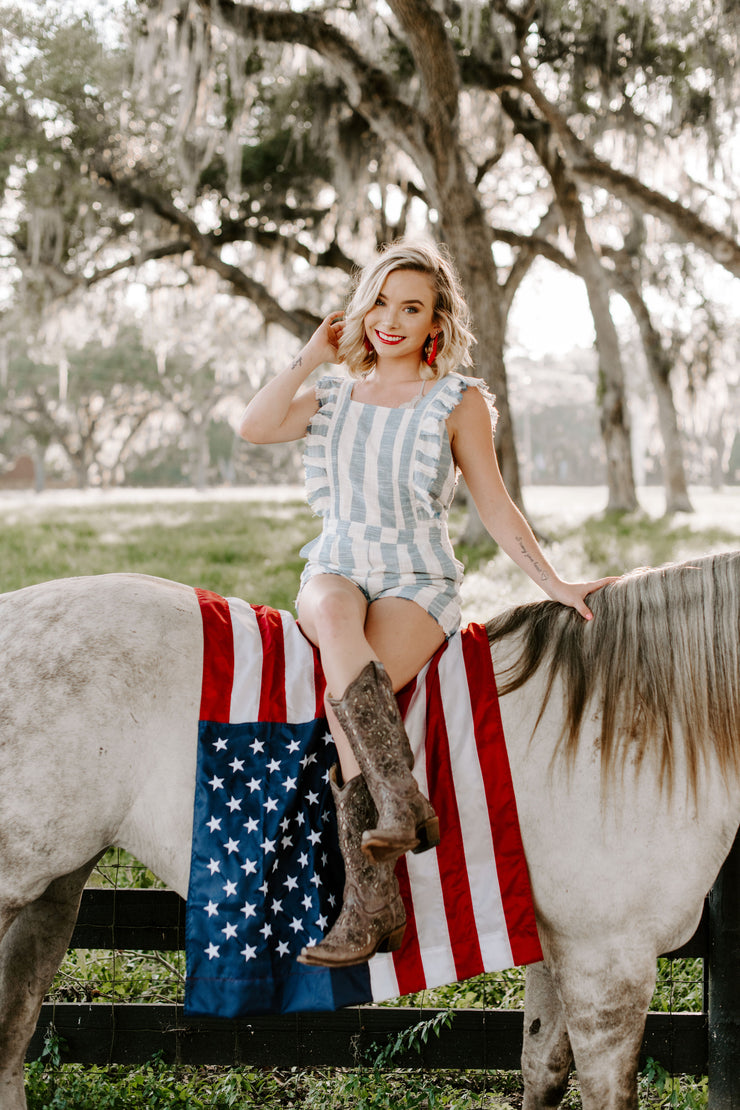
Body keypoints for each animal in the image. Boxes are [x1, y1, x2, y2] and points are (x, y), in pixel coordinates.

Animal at [0, 555, 736, 1110]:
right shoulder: (607, 966)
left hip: (54, 891)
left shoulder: (562, 953)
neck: (626, 729)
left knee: (11, 1032)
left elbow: (542, 1073)